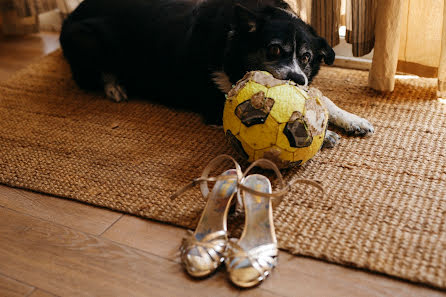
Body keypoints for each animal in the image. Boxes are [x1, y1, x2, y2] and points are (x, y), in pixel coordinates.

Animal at [59, 0, 372, 145]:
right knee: (95, 73)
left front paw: (352, 120)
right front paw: (318, 134)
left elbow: (323, 100)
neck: (231, 46)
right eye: (273, 50)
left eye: (306, 57)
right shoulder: (215, 103)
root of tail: (74, 12)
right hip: (83, 37)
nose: (298, 79)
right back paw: (114, 86)